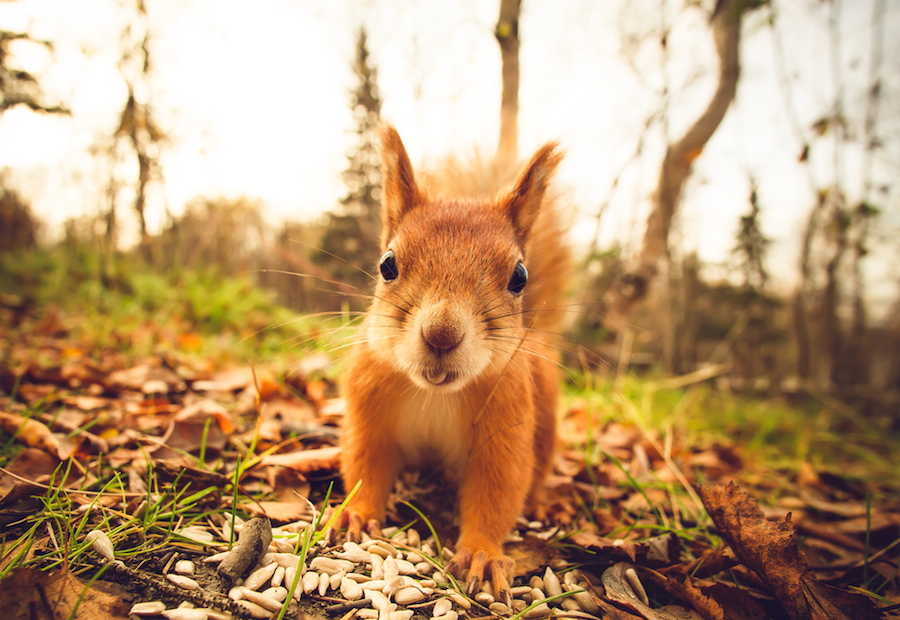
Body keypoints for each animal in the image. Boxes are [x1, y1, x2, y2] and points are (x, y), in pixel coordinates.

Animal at [338, 123, 568, 604]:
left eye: (520, 276)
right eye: (387, 264)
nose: (441, 334)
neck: (434, 395)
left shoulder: (505, 425)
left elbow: (497, 489)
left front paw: (481, 553)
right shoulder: (368, 409)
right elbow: (366, 463)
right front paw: (357, 514)